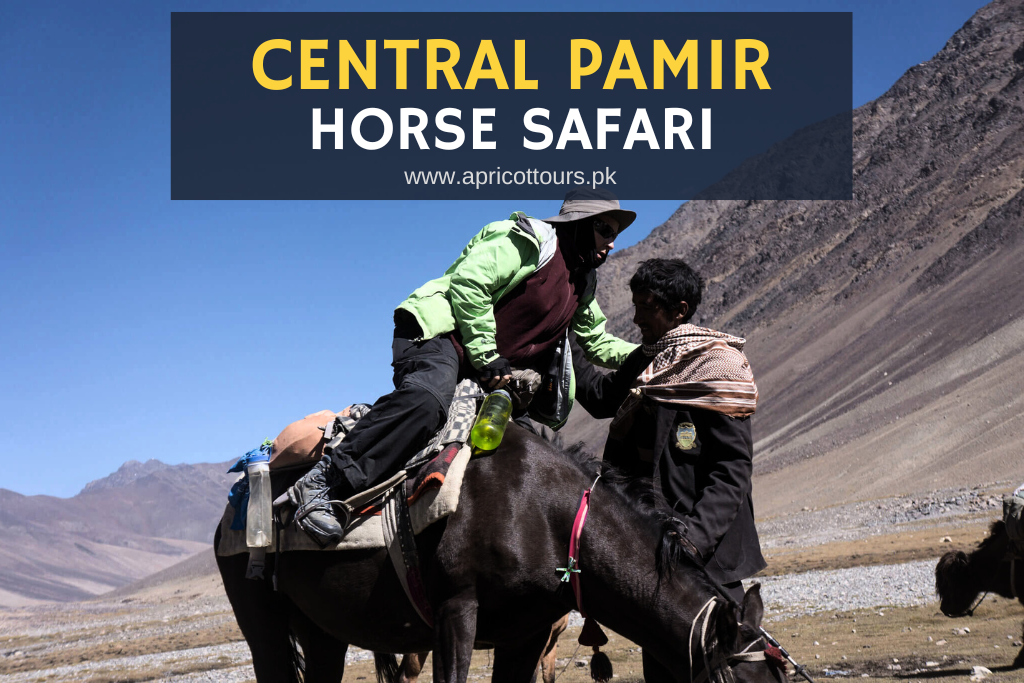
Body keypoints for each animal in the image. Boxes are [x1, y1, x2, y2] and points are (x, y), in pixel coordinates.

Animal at [216, 424, 787, 683]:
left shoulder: (525, 634)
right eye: (741, 680)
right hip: (264, 625)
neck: (546, 516)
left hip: (322, 631)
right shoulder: (455, 615)